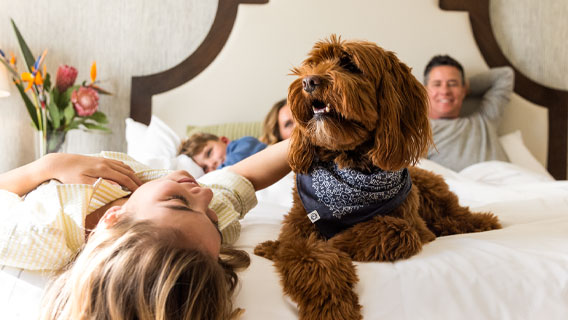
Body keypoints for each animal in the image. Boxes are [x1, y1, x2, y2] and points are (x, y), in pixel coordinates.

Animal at [254, 35, 502, 320]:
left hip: (435, 192)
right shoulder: (299, 230)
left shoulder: (412, 224)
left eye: (350, 65)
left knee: (456, 214)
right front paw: (333, 308)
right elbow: (308, 256)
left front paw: (339, 242)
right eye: (313, 64)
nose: (308, 82)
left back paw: (483, 221)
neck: (351, 169)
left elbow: (401, 230)